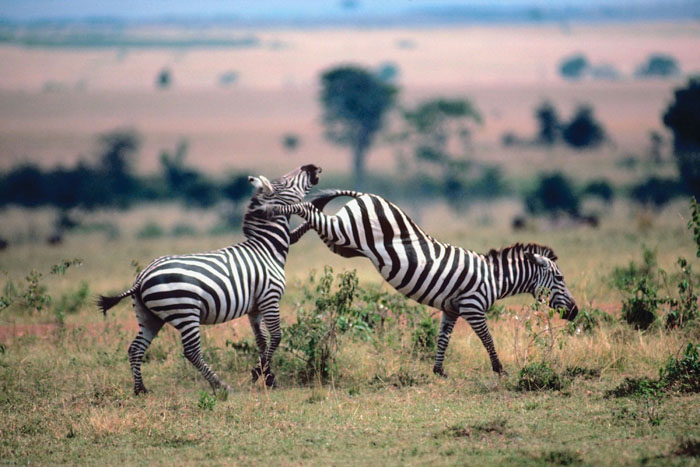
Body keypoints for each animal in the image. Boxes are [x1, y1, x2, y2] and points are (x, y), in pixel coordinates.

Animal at [98, 164, 322, 394]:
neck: (267, 248)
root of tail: (142, 277)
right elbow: (276, 337)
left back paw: (140, 389)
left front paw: (268, 377)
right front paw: (258, 374)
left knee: (135, 348)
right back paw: (220, 385)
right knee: (191, 351)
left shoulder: (255, 306)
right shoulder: (270, 298)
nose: (311, 167)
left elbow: (261, 341)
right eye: (285, 182)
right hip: (185, 311)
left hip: (149, 316)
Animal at [277, 190, 578, 377]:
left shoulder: (452, 308)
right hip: (345, 232)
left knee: (315, 218)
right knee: (309, 210)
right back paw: (278, 208)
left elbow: (443, 338)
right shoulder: (473, 307)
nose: (575, 312)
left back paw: (292, 233)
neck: (494, 277)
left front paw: (439, 370)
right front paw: (500, 369)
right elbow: (488, 339)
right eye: (560, 279)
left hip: (341, 242)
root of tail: (366, 196)